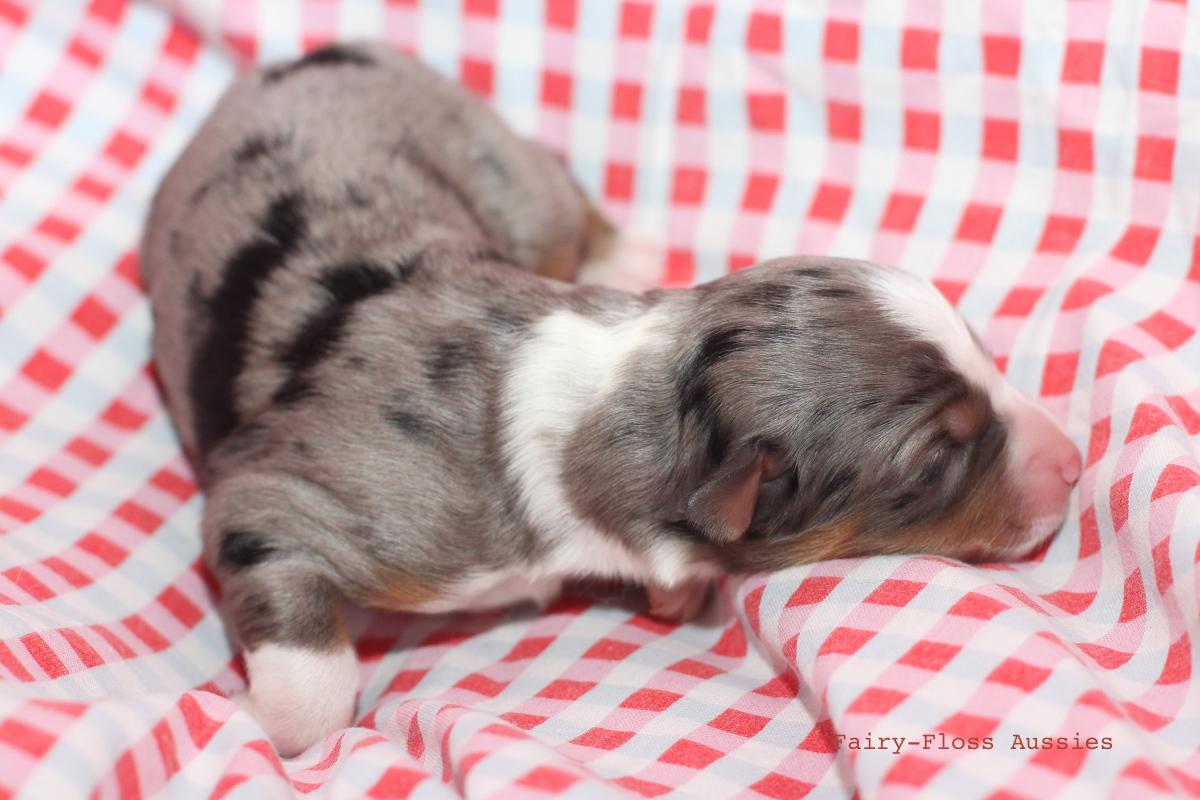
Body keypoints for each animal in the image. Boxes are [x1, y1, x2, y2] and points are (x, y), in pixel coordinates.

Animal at [138, 42, 1080, 758]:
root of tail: (312, 54)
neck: (635, 397)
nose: (1074, 464)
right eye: (934, 462)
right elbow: (316, 688)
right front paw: (246, 716)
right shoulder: (284, 503)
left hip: (510, 177)